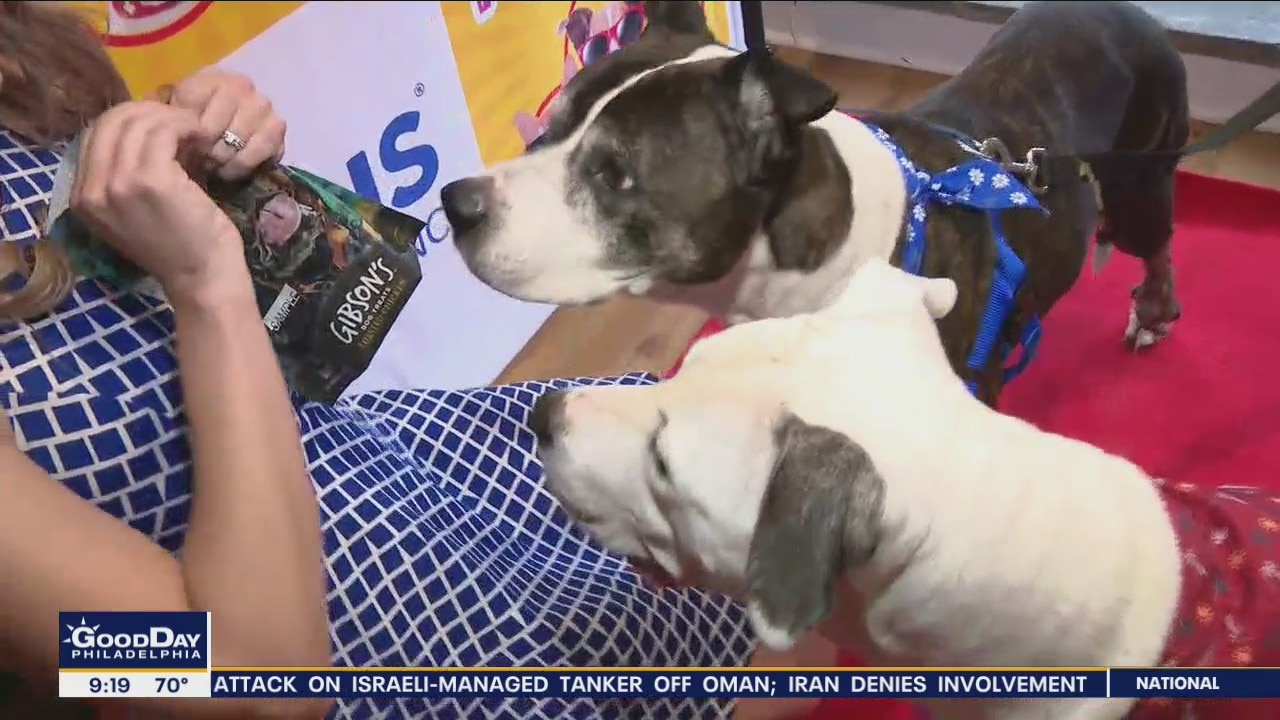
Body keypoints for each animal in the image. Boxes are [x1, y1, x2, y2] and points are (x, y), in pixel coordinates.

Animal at [442, 1, 1189, 405]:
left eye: (613, 175)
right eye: (550, 125)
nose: (456, 204)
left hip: (1141, 181)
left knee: (1157, 244)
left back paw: (1154, 308)